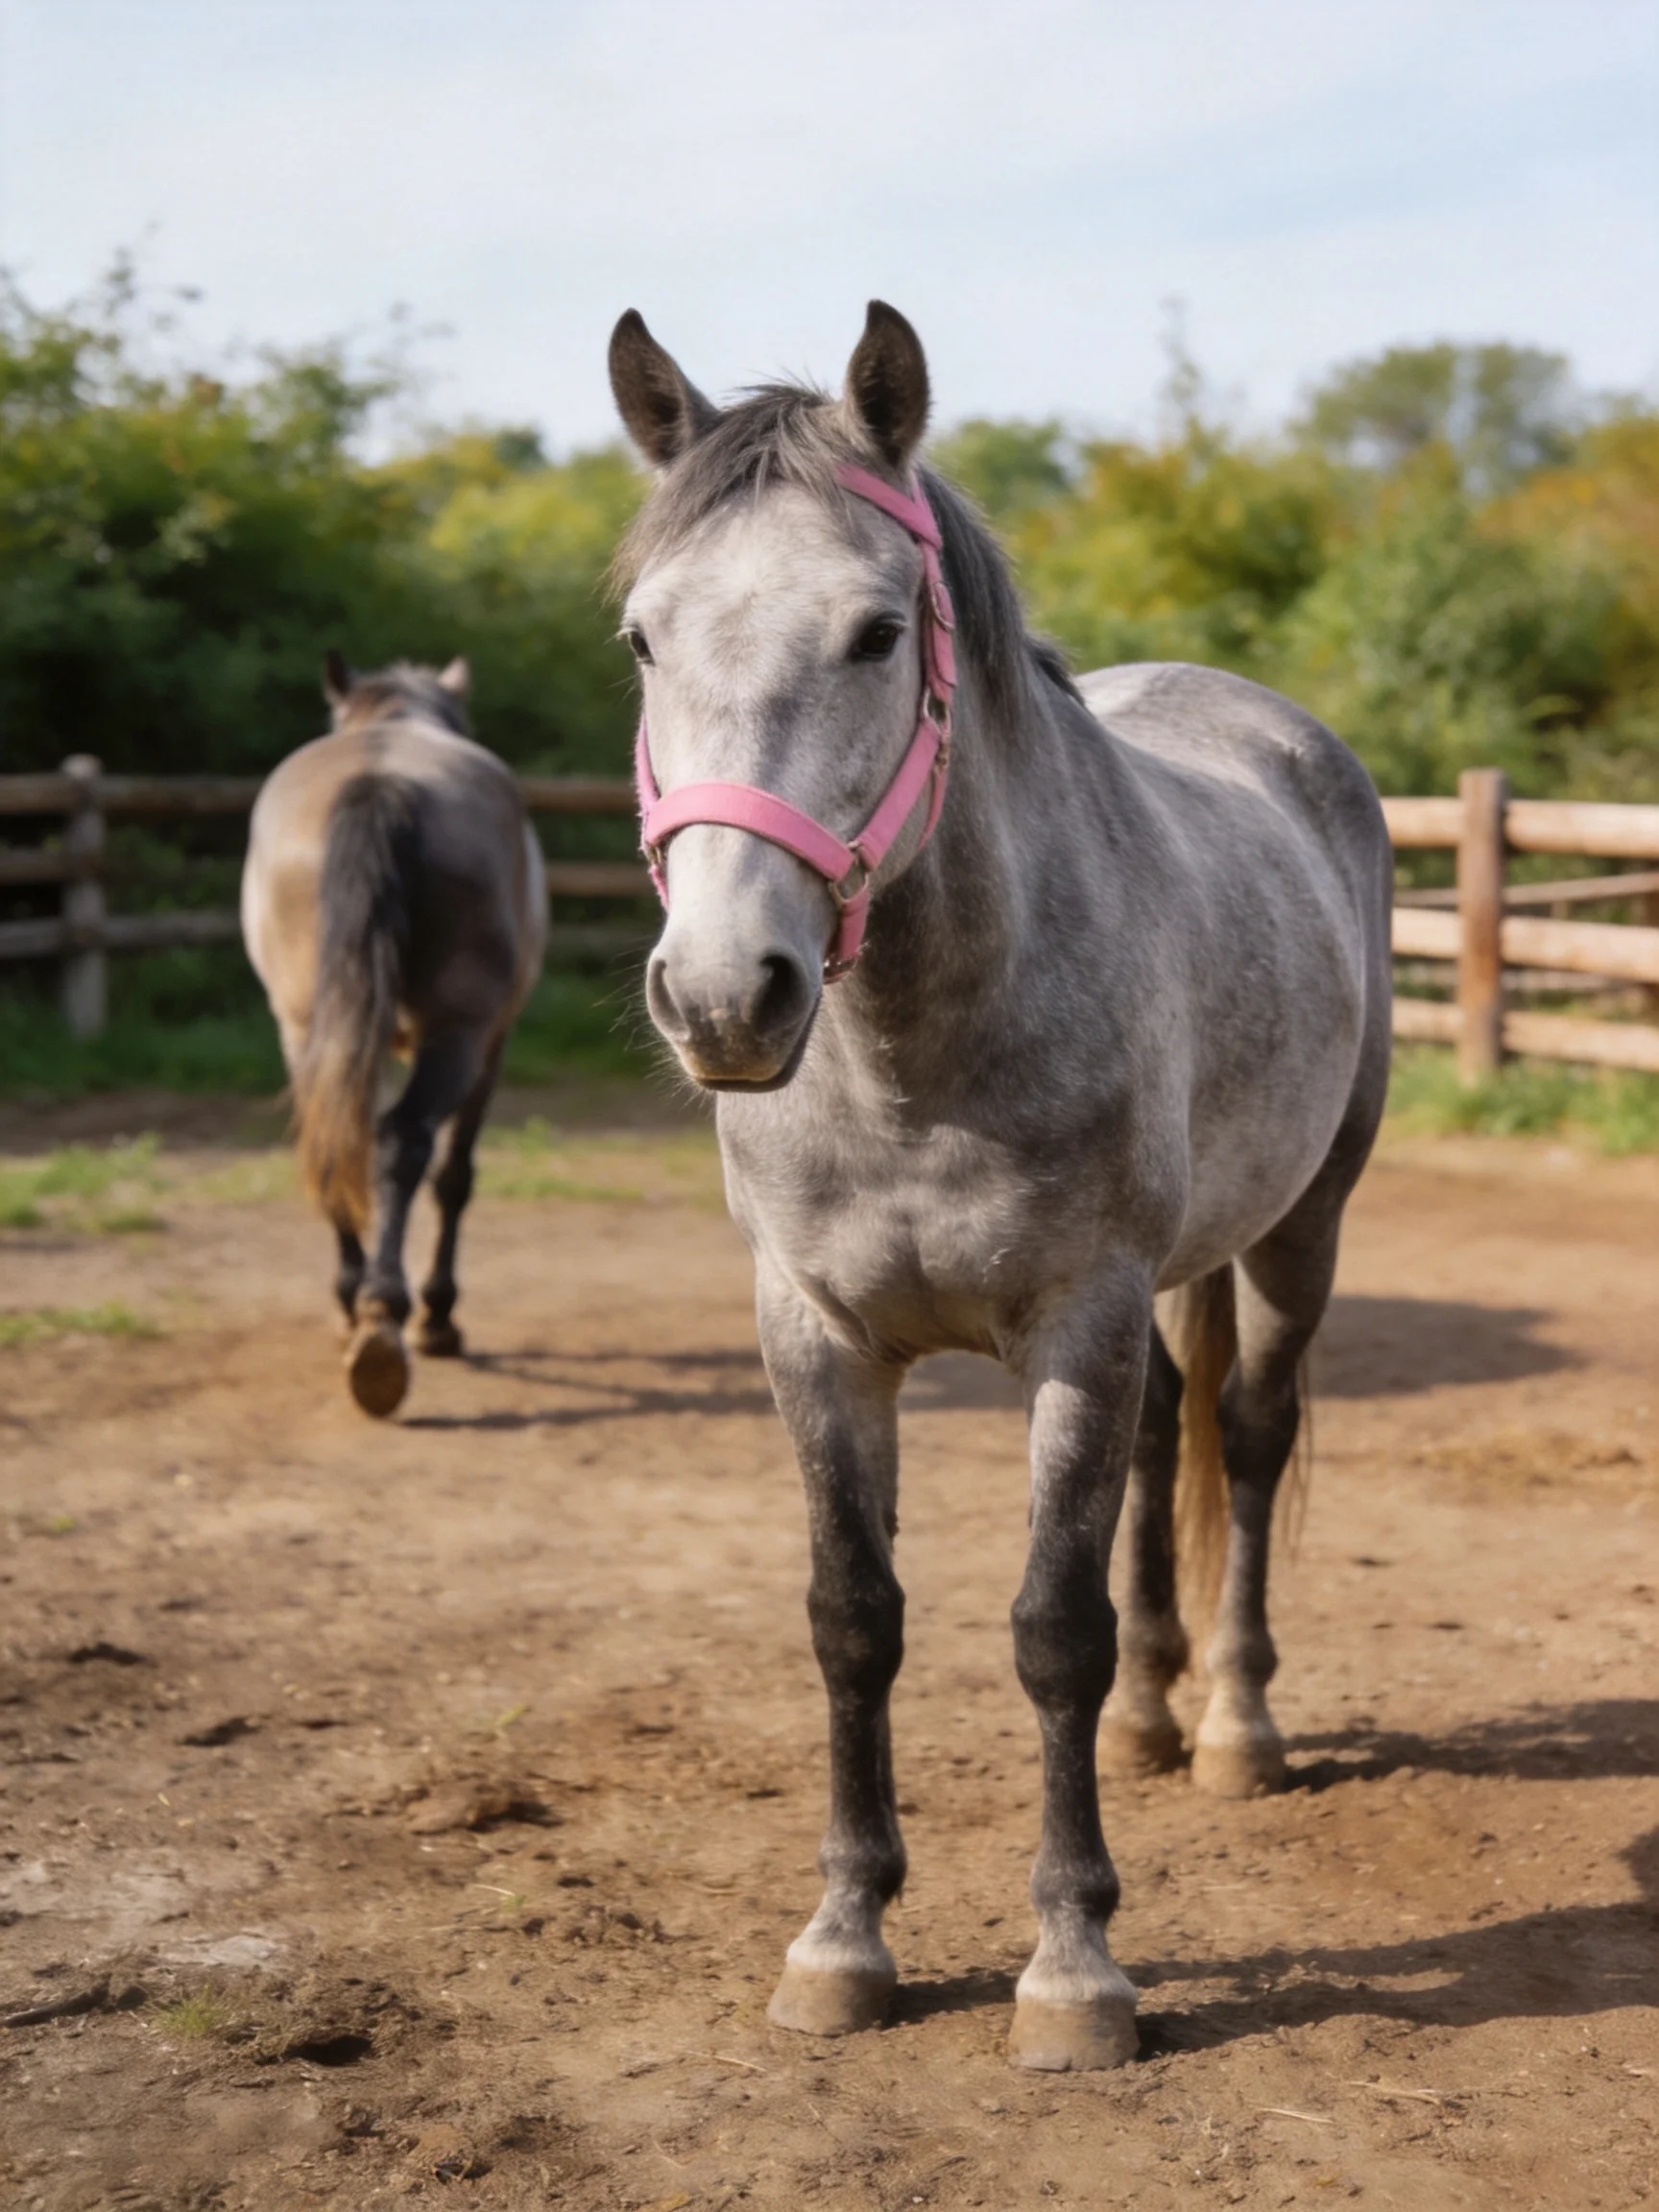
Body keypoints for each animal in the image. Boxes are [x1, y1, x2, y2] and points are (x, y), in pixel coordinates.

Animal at [240, 654, 547, 1417]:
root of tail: (380, 781)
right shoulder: (493, 1042)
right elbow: (455, 1175)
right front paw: (438, 1315)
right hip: (458, 1036)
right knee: (405, 1142)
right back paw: (388, 1318)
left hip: (308, 1031)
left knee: (339, 1141)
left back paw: (360, 1308)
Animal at [607, 301, 1392, 2071]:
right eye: (639, 642)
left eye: (875, 632)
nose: (722, 996)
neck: (916, 1051)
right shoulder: (815, 1337)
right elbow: (853, 1616)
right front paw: (842, 1939)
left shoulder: (1071, 1331)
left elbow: (1048, 1629)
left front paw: (1073, 1967)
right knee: (1174, 1439)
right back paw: (1160, 1716)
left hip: (1299, 1228)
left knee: (1246, 1435)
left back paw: (1234, 1724)